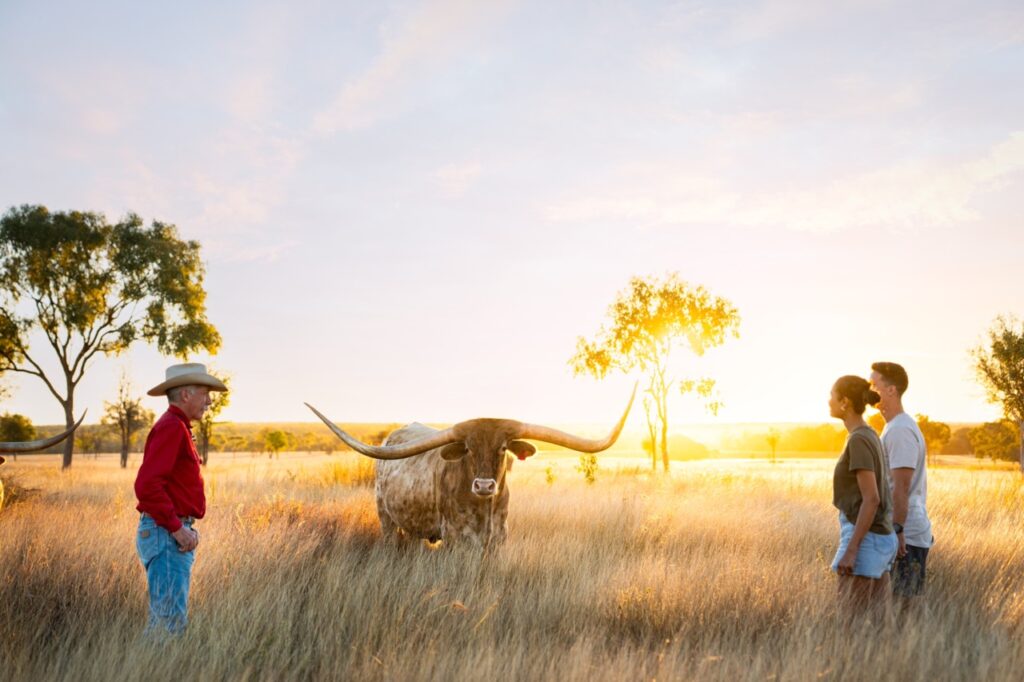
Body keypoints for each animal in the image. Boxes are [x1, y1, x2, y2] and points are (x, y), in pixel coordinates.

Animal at [307, 387, 634, 548]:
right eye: (469, 448)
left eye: (503, 447)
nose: (485, 486)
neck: (483, 510)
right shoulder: (457, 540)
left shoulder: (497, 540)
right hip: (385, 517)